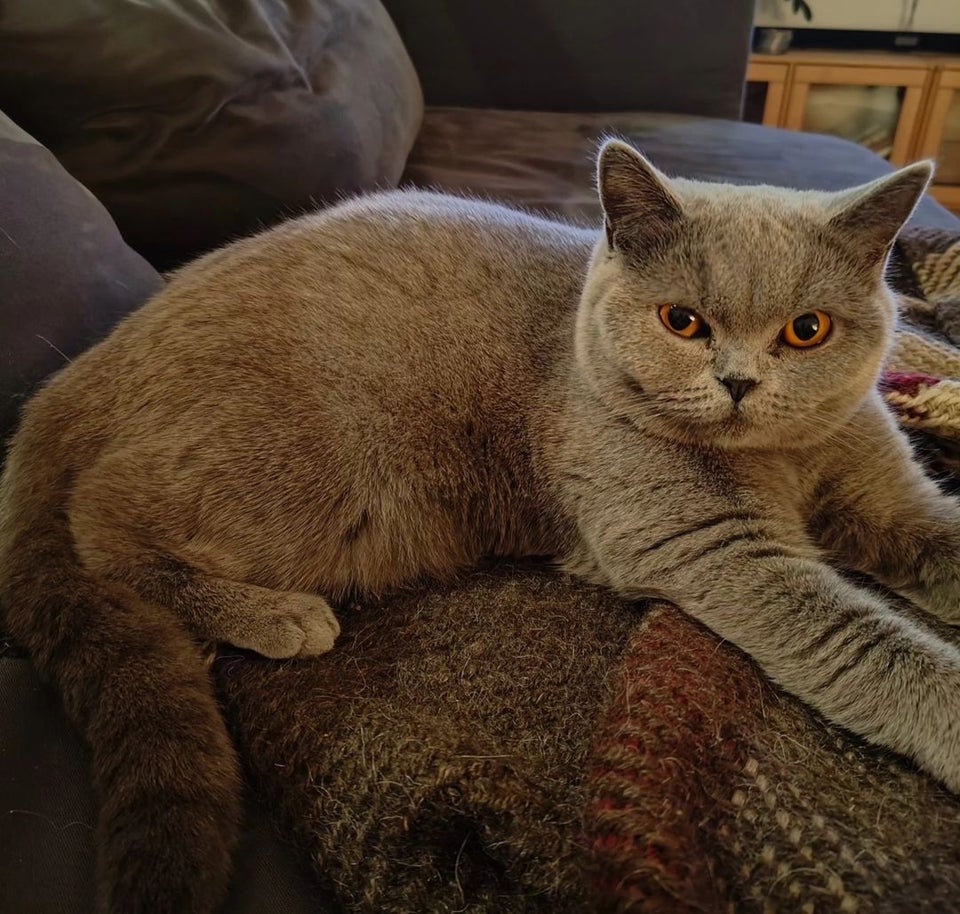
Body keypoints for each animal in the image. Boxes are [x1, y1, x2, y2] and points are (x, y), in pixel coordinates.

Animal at [1, 137, 960, 912]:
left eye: (808, 331)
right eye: (682, 321)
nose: (738, 382)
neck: (785, 462)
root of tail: (93, 359)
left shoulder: (892, 497)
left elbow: (934, 542)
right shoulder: (707, 545)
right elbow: (858, 639)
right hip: (307, 468)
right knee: (102, 527)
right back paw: (276, 617)